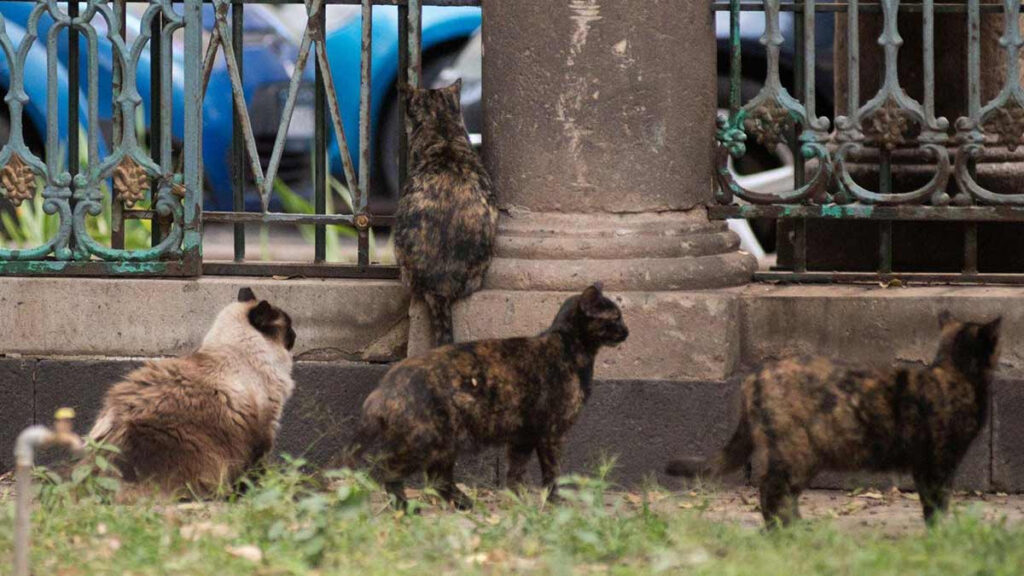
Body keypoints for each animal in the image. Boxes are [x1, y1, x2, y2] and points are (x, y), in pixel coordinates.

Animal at [352, 282, 626, 506]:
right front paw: (555, 504)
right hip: (425, 441)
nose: (627, 331)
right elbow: (552, 473)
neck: (569, 347)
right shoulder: (552, 432)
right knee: (390, 470)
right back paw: (404, 508)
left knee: (438, 479)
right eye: (615, 317)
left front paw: (517, 503)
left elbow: (515, 473)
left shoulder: (522, 437)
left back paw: (465, 505)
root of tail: (385, 386)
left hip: (444, 445)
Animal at [663, 311, 999, 528]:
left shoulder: (923, 465)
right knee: (771, 490)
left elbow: (929, 504)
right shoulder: (939, 461)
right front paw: (940, 534)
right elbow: (938, 502)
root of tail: (753, 376)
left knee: (782, 495)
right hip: (798, 453)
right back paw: (786, 534)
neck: (954, 372)